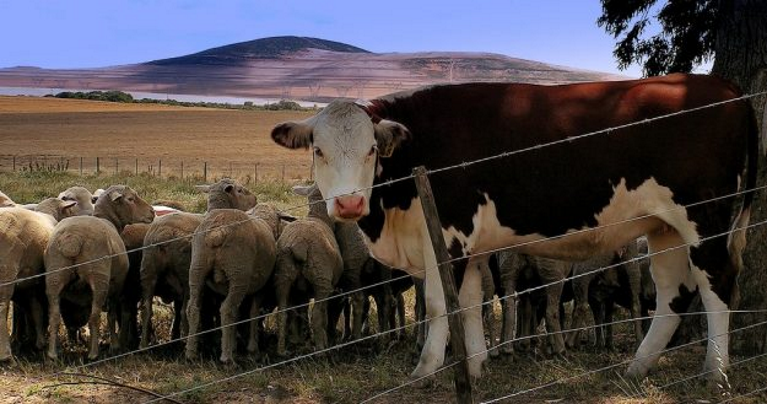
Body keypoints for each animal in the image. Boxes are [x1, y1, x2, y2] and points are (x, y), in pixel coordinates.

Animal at [271, 73, 757, 383]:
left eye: (372, 150)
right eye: (318, 150)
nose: (349, 202)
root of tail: (723, 85)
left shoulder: (448, 236)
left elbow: (440, 304)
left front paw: (425, 370)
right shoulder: (471, 246)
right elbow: (469, 304)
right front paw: (475, 366)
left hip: (705, 219)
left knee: (716, 285)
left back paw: (715, 372)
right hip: (663, 228)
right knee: (673, 294)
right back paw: (637, 368)